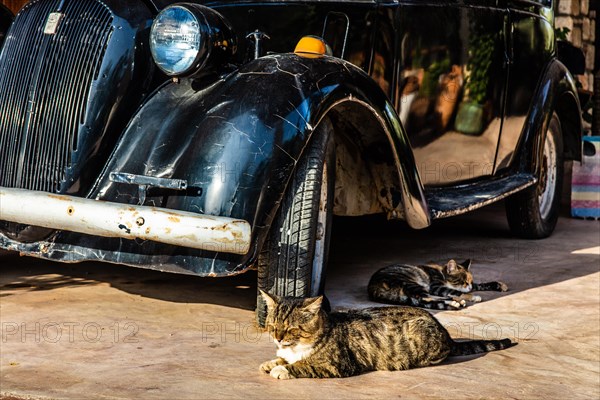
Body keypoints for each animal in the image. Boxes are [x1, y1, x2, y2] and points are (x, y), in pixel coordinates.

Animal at [260, 290, 512, 378]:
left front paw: (282, 369)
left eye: (291, 328)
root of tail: (446, 334)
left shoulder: (337, 365)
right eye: (272, 326)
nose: (278, 338)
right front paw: (272, 362)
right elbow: (284, 358)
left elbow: (304, 365)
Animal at [366, 258, 506, 310]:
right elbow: (458, 291)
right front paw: (473, 296)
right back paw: (454, 302)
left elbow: (479, 285)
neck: (442, 273)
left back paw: (454, 301)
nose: (469, 286)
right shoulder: (436, 286)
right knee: (424, 298)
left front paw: (498, 285)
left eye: (470, 281)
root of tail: (373, 288)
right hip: (412, 283)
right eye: (463, 281)